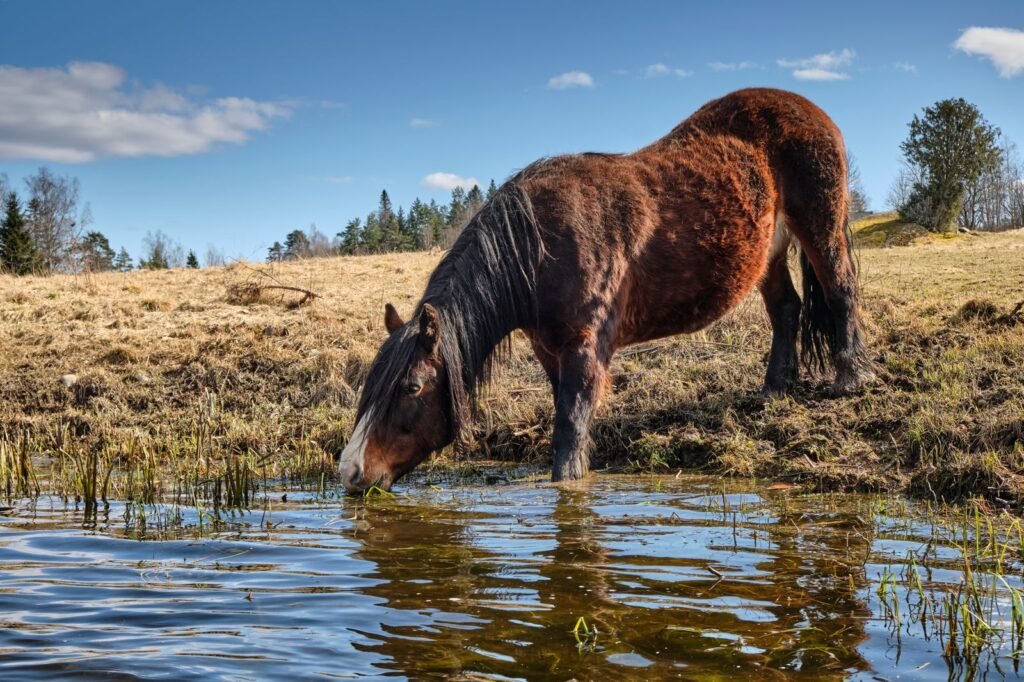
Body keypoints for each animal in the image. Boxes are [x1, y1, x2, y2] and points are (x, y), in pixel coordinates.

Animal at [338, 87, 874, 493]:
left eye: (411, 387)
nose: (351, 471)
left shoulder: (586, 348)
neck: (538, 250)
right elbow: (565, 416)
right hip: (768, 253)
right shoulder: (550, 352)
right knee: (786, 310)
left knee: (841, 291)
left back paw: (850, 378)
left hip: (819, 228)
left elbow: (570, 430)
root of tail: (811, 110)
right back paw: (773, 390)